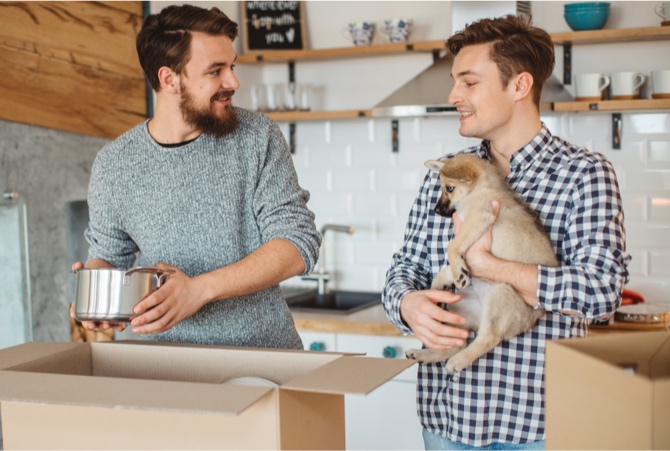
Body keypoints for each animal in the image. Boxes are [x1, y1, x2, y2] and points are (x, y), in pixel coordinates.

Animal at [406, 155, 560, 374]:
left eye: (449, 188)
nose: (435, 210)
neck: (479, 188)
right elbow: (450, 265)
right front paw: (451, 277)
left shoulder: (478, 218)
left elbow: (452, 246)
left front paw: (457, 272)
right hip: (459, 307)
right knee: (458, 342)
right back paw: (424, 354)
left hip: (500, 294)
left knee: (488, 337)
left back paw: (458, 361)